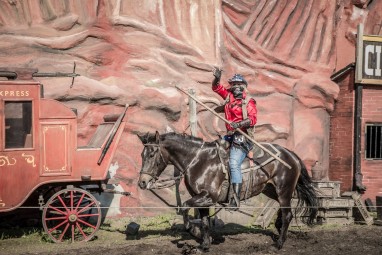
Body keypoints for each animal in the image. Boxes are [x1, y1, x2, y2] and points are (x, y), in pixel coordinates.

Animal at [138, 131, 320, 251]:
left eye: (152, 154)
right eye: (142, 154)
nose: (142, 182)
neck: (198, 160)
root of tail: (291, 154)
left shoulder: (207, 196)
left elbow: (184, 208)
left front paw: (195, 232)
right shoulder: (202, 199)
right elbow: (204, 221)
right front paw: (205, 244)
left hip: (284, 190)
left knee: (288, 214)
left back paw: (279, 243)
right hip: (271, 190)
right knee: (283, 213)